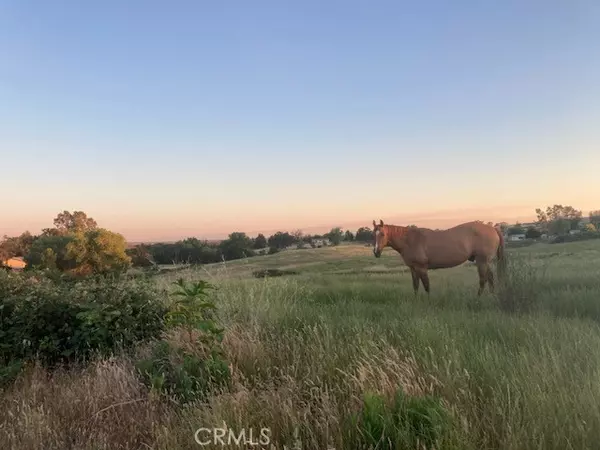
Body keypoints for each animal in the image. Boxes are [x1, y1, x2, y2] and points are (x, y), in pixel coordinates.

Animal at [372, 221, 504, 296]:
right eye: (373, 234)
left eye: (382, 234)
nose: (376, 252)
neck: (410, 240)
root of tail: (493, 228)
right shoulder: (413, 268)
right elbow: (415, 285)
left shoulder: (421, 268)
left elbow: (426, 286)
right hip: (485, 262)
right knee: (490, 278)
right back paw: (491, 296)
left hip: (482, 261)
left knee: (483, 280)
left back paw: (478, 298)